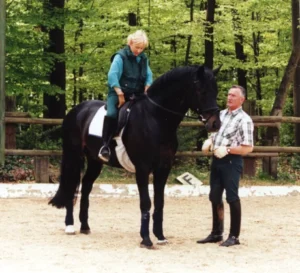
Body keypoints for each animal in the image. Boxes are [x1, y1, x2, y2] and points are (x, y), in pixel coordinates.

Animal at [49, 63, 221, 246]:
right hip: (73, 155)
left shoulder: (163, 168)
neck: (156, 118)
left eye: (216, 90)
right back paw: (70, 226)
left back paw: (85, 226)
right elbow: (145, 202)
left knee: (86, 185)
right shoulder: (142, 168)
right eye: (201, 90)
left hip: (95, 160)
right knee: (71, 184)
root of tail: (76, 110)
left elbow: (159, 202)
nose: (215, 124)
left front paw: (160, 236)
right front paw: (146, 239)